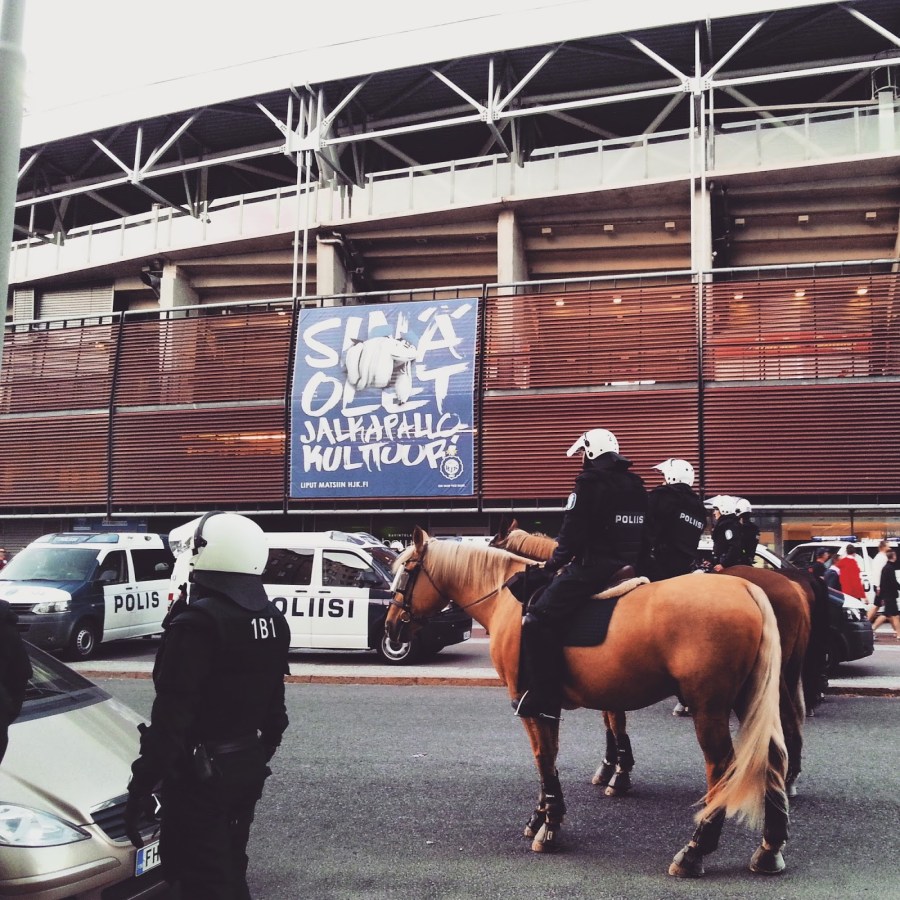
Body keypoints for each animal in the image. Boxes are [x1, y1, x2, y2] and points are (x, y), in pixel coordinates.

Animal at [386, 527, 789, 877]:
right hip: (747, 701)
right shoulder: (550, 702)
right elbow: (552, 754)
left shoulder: (528, 700)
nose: (391, 627)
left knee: (721, 769)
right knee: (772, 756)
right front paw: (543, 816)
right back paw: (769, 848)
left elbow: (543, 756)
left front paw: (550, 825)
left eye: (407, 570)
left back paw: (694, 851)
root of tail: (746, 588)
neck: (508, 600)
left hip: (708, 708)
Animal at [490, 520, 829, 798]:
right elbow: (612, 718)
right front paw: (613, 767)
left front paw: (616, 772)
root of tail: (792, 582)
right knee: (788, 718)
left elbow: (613, 719)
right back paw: (788, 777)